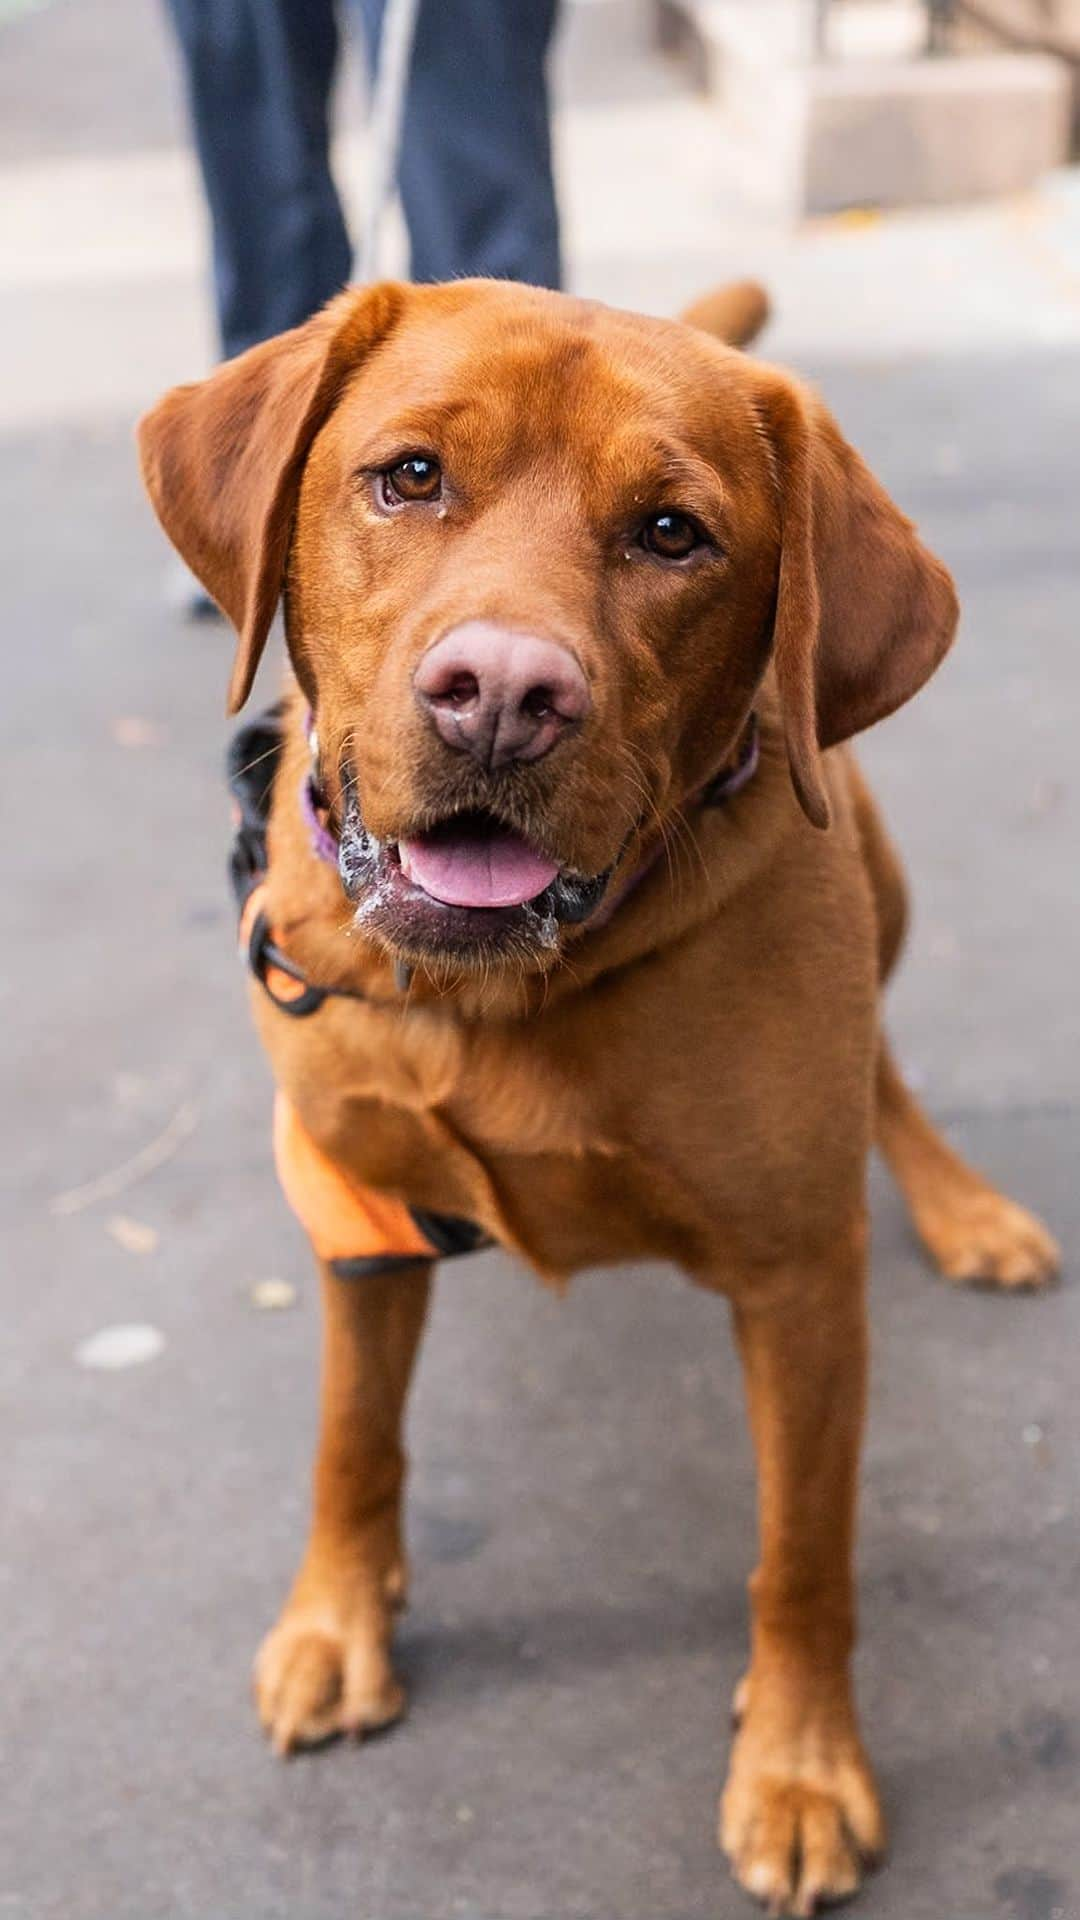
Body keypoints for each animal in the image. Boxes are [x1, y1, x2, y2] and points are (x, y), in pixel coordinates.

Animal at [138, 278, 1053, 1912]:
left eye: (674, 534)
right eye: (409, 477)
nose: (502, 696)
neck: (498, 997)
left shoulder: (800, 1283)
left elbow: (801, 1553)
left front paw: (800, 1766)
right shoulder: (353, 1206)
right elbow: (350, 1442)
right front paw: (338, 1623)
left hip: (878, 882)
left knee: (884, 1062)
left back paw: (963, 1208)